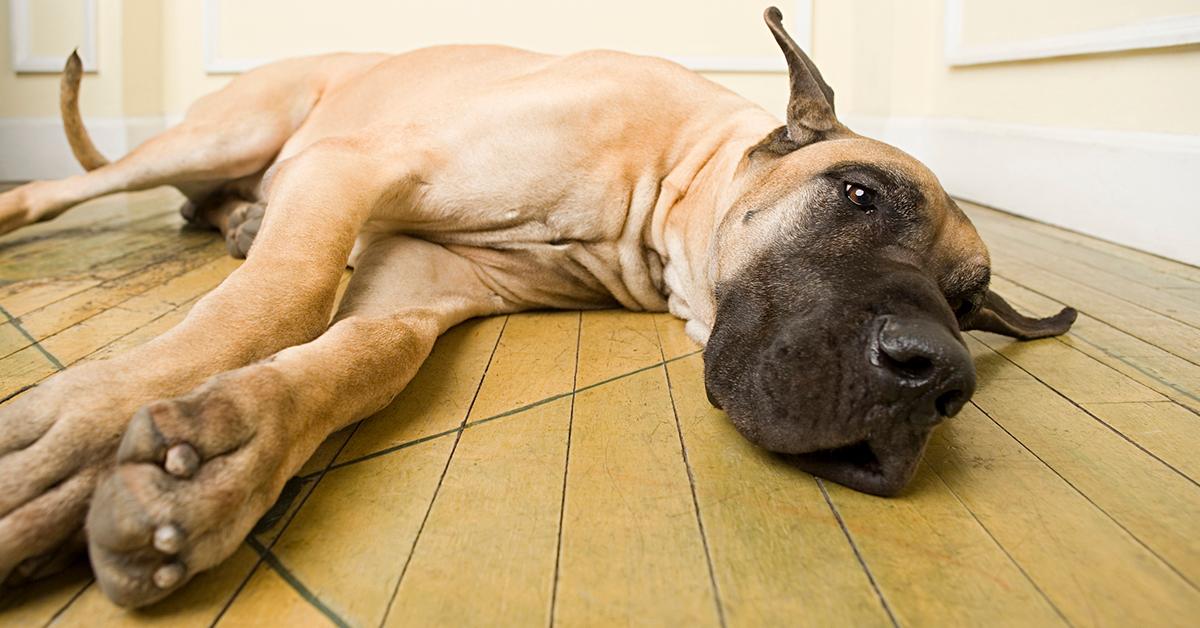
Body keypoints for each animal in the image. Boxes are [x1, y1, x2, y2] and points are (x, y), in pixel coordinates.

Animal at [0, 8, 1075, 609]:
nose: (939, 378)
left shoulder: (419, 285)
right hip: (234, 127)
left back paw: (238, 218)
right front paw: (76, 436)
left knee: (211, 209)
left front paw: (219, 462)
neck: (666, 180)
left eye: (971, 305)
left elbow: (361, 360)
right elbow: (285, 293)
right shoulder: (352, 169)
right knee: (62, 192)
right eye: (858, 196)